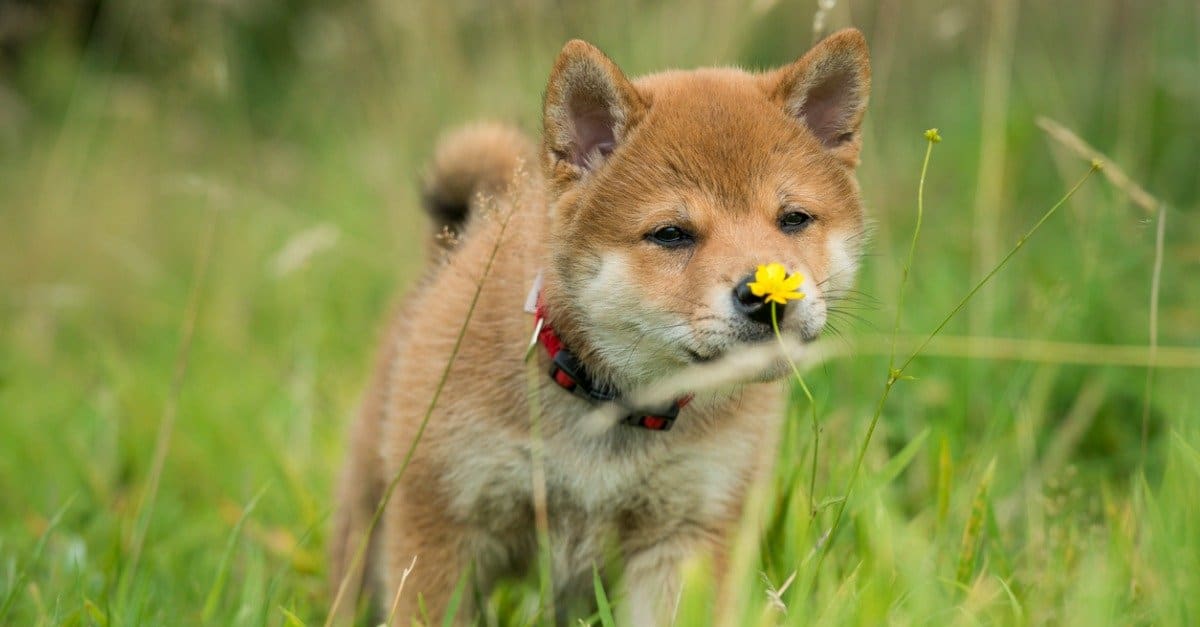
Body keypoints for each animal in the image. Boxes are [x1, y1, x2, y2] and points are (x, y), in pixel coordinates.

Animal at [333, 28, 868, 619]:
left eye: (793, 219)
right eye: (671, 234)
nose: (767, 297)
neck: (611, 406)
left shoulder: (686, 532)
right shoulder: (442, 526)